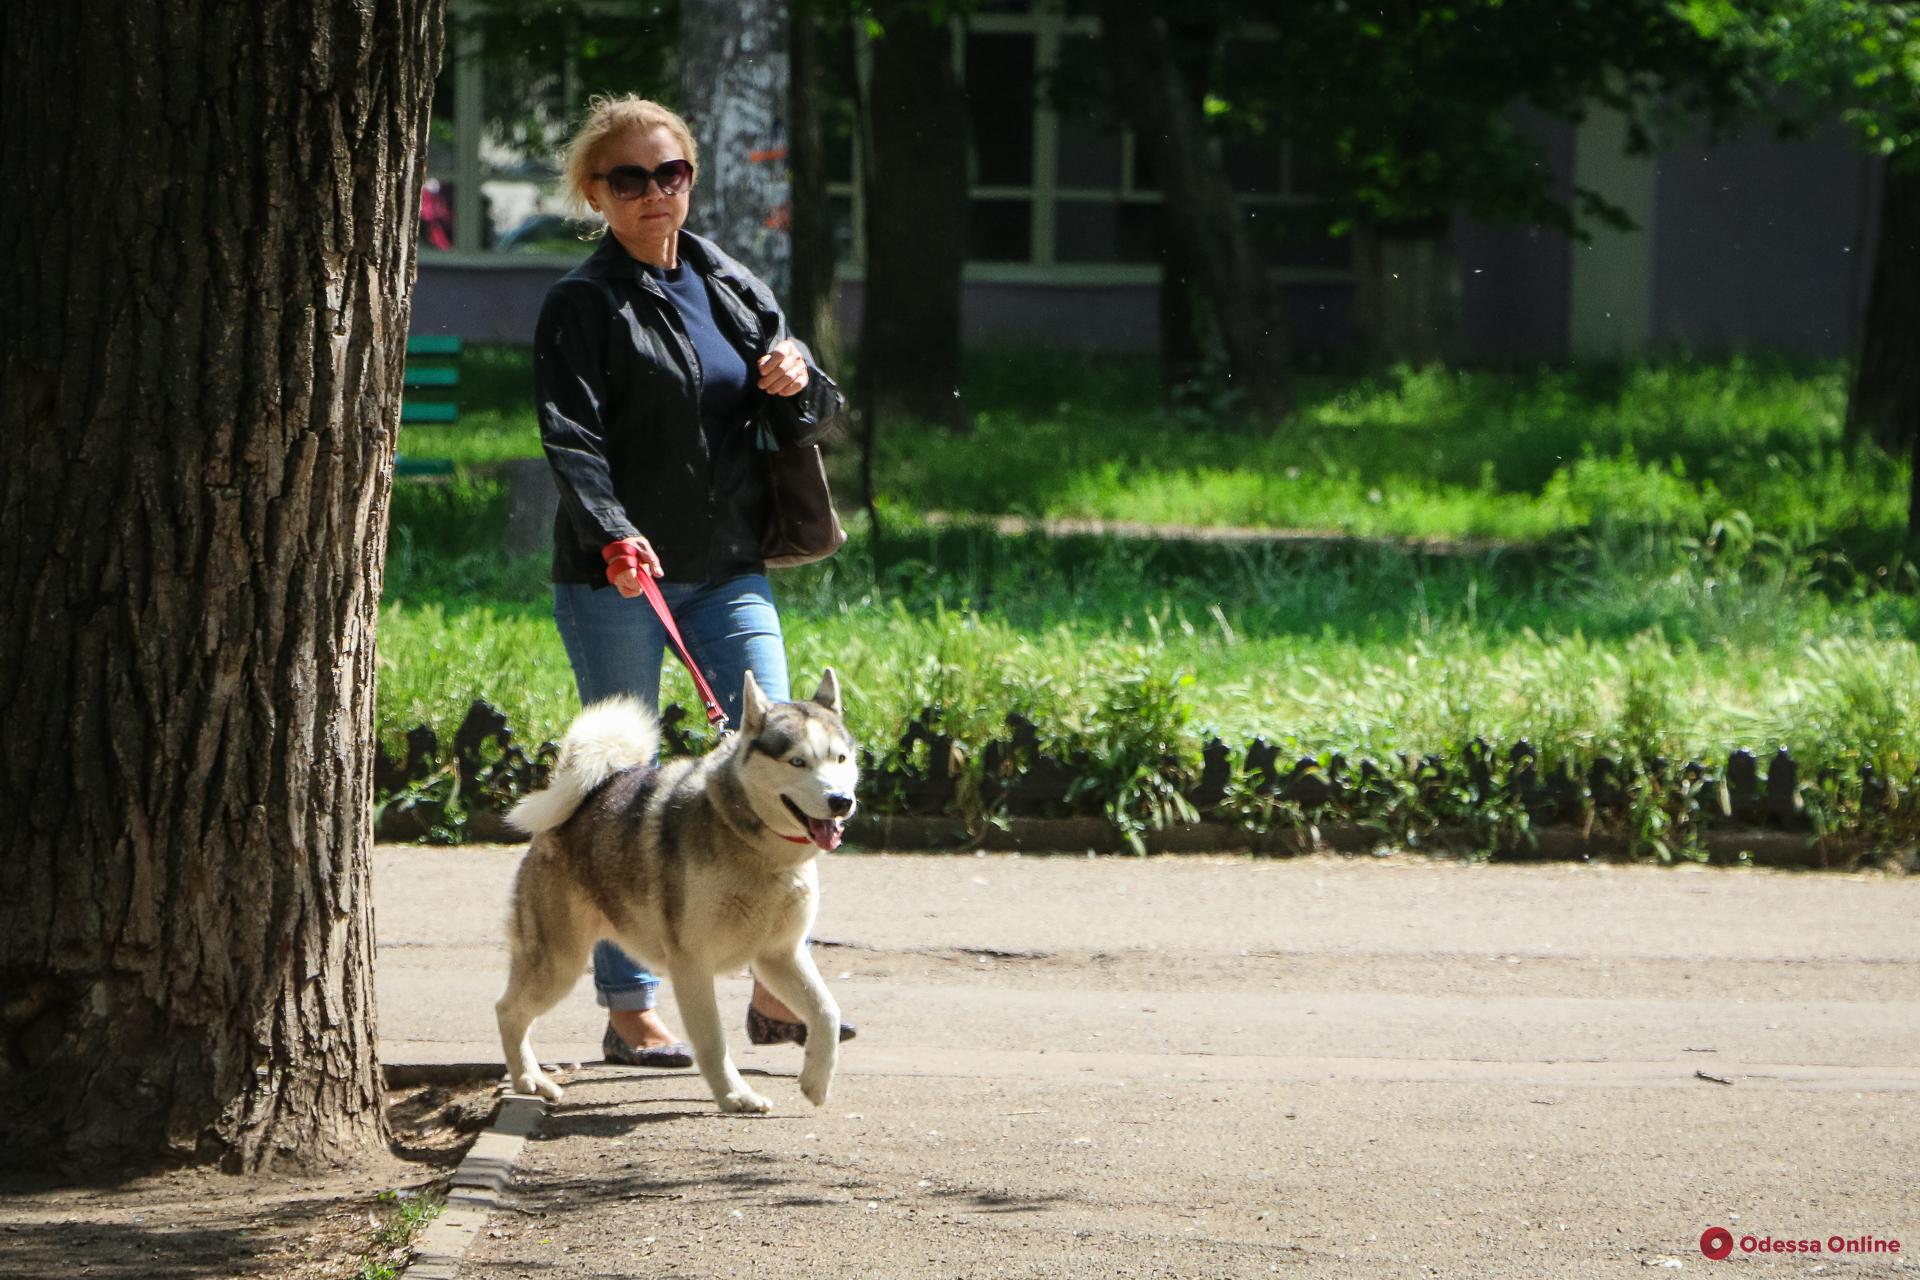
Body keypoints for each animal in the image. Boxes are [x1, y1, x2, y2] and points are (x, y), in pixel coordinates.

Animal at [499, 671, 860, 1113]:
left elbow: (826, 1012)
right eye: (797, 761)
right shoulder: (692, 965)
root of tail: (589, 794)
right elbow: (713, 1042)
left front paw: (815, 1081)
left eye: (839, 759)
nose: (841, 801)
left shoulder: (779, 955)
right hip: (558, 964)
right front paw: (735, 1095)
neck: (759, 854)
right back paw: (529, 1079)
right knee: (509, 1011)